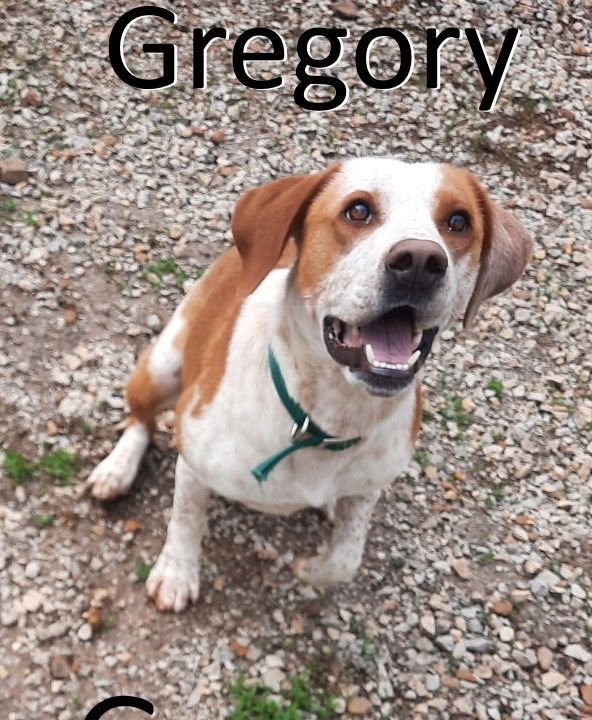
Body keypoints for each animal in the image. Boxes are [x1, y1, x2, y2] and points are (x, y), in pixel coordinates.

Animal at [86, 159, 532, 612]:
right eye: (358, 210)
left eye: (459, 221)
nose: (421, 260)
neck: (326, 417)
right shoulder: (193, 463)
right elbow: (185, 519)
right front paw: (177, 574)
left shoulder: (368, 488)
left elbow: (346, 558)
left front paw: (310, 569)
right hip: (162, 367)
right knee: (139, 420)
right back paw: (116, 470)